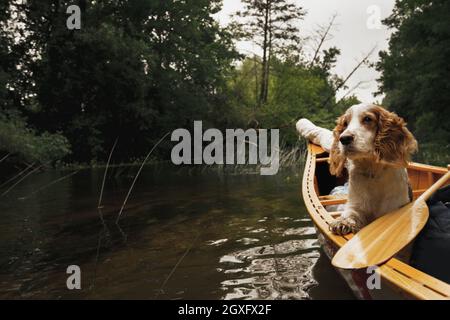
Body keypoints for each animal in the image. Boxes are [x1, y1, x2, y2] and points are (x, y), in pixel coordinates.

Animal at [296, 104, 418, 235]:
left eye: (367, 119)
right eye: (345, 123)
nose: (344, 138)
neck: (372, 172)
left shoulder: (394, 206)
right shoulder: (355, 205)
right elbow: (351, 214)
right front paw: (343, 222)